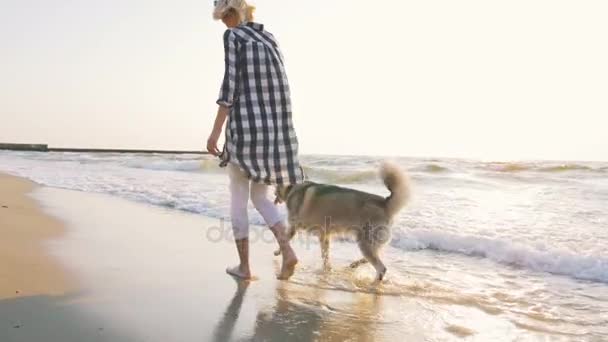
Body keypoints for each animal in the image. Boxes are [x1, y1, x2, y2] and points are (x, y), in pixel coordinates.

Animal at [276, 162, 414, 282]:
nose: (273, 193)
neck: (294, 187)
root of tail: (385, 203)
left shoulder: (294, 227)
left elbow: (284, 240)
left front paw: (278, 252)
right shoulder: (324, 236)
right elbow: (325, 255)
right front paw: (327, 270)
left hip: (366, 243)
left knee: (381, 268)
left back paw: (374, 282)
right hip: (371, 243)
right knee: (371, 259)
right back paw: (354, 265)